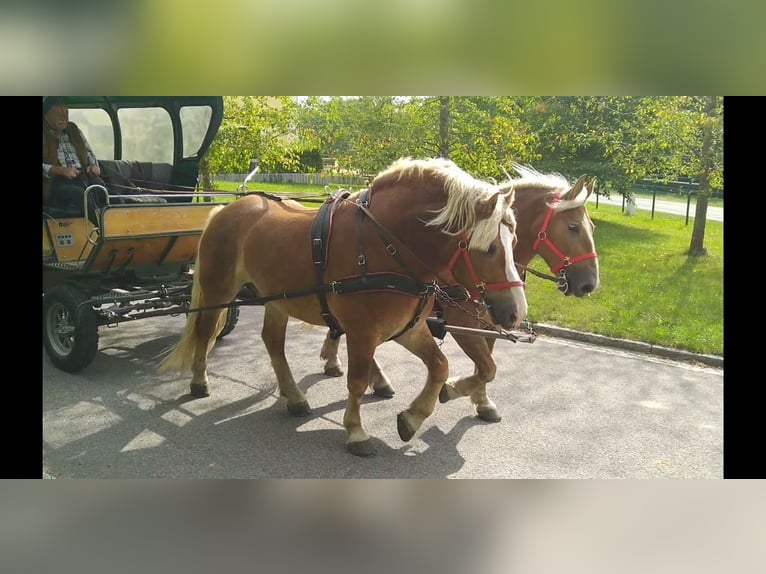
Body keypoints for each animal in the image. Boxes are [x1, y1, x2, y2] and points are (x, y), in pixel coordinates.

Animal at [158, 157, 528, 457]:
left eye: (514, 242)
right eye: (489, 248)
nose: (516, 313)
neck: (388, 245)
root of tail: (228, 208)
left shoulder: (406, 328)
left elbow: (439, 367)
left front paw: (415, 416)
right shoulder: (363, 332)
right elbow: (357, 380)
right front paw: (356, 431)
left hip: (276, 299)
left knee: (273, 342)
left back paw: (294, 397)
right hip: (218, 289)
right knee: (206, 330)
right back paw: (199, 380)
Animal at [318, 163, 599, 422]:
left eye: (591, 227)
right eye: (573, 227)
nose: (589, 284)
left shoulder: (489, 321)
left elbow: (487, 365)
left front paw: (482, 401)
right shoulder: (461, 320)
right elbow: (487, 367)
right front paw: (453, 390)